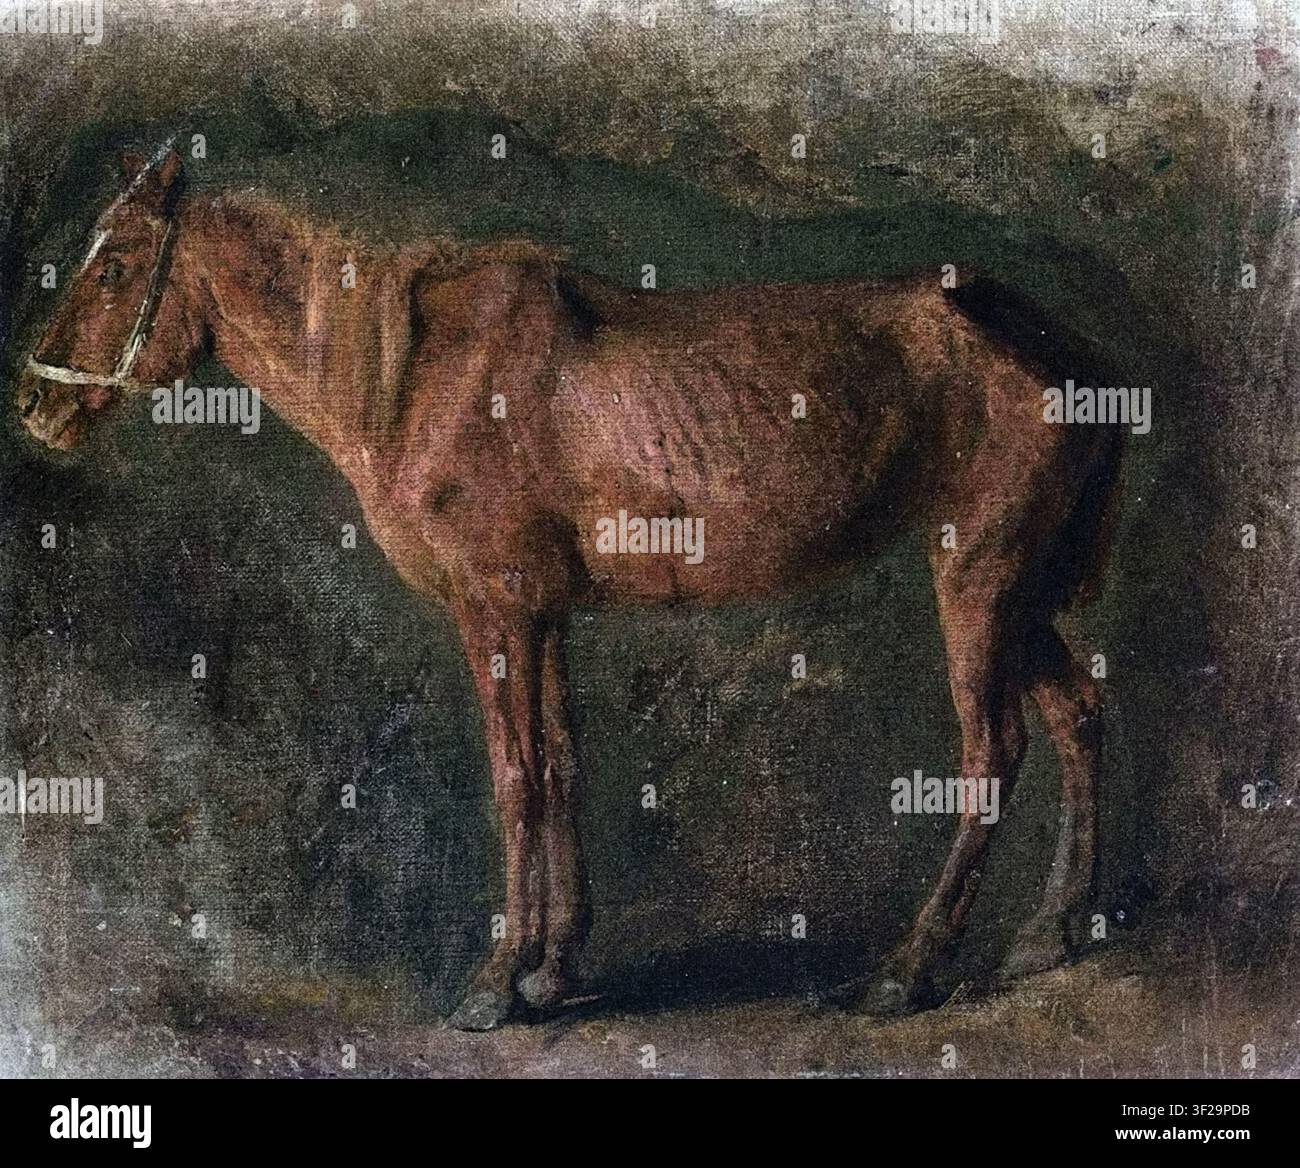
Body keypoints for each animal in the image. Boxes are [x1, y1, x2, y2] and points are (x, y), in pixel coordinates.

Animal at [17, 145, 1122, 1030]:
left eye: (115, 265)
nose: (31, 400)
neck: (414, 375)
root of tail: (1052, 343)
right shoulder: (540, 614)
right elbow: (560, 765)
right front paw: (552, 968)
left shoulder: (495, 609)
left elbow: (516, 779)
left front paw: (495, 982)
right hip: (1017, 590)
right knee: (1076, 715)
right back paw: (1052, 931)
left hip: (977, 575)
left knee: (992, 750)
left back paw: (908, 969)